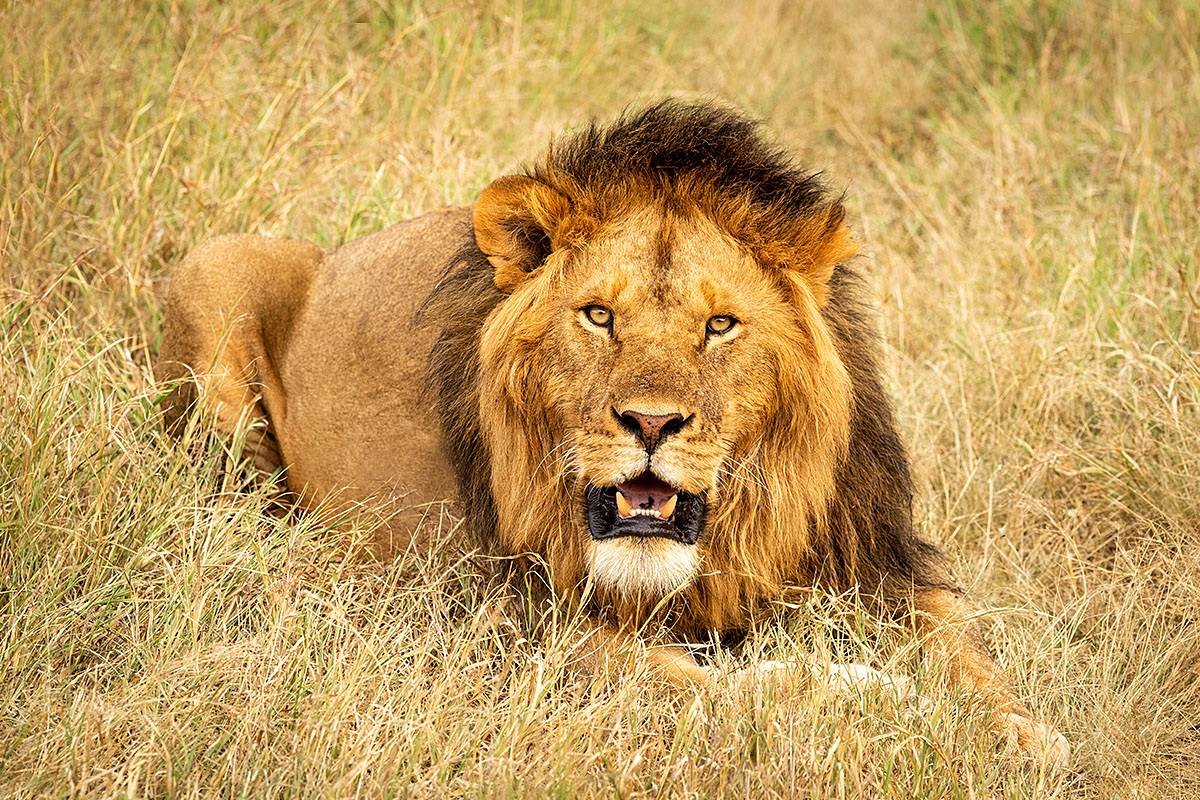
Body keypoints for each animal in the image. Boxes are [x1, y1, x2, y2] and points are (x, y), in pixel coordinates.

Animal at [156, 100, 1069, 767]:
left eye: (720, 326)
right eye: (598, 316)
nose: (651, 422)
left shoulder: (880, 561)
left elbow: (970, 653)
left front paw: (1024, 734)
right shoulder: (508, 620)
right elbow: (703, 686)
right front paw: (867, 692)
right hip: (214, 277)